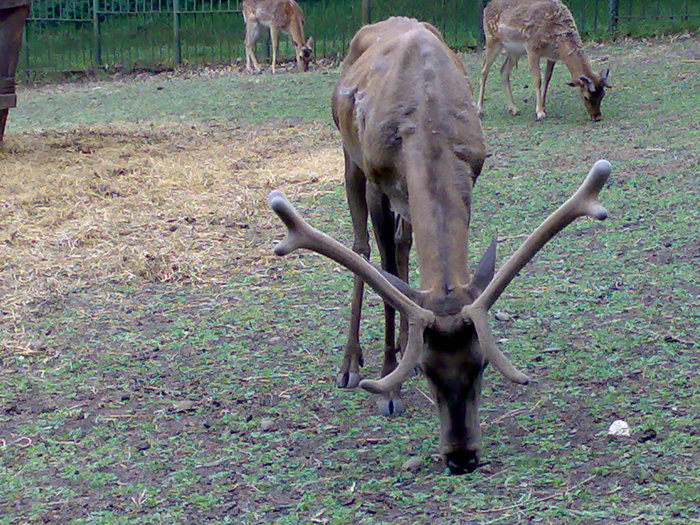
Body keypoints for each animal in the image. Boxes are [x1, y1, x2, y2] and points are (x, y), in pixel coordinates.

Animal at [268, 17, 612, 474]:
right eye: (430, 371)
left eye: (481, 364)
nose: (461, 457)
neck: (427, 117)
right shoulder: (377, 179)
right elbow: (386, 279)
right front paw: (389, 387)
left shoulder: (473, 173)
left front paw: (400, 358)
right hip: (348, 155)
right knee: (363, 249)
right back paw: (351, 365)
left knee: (403, 246)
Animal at [476, 0, 612, 121]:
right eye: (585, 97)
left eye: (602, 95)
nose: (597, 117)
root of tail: (486, 7)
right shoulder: (531, 49)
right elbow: (537, 79)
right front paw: (540, 113)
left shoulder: (552, 57)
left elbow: (547, 79)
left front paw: (543, 106)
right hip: (492, 39)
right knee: (484, 69)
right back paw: (480, 110)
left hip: (515, 51)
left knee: (503, 70)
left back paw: (514, 109)